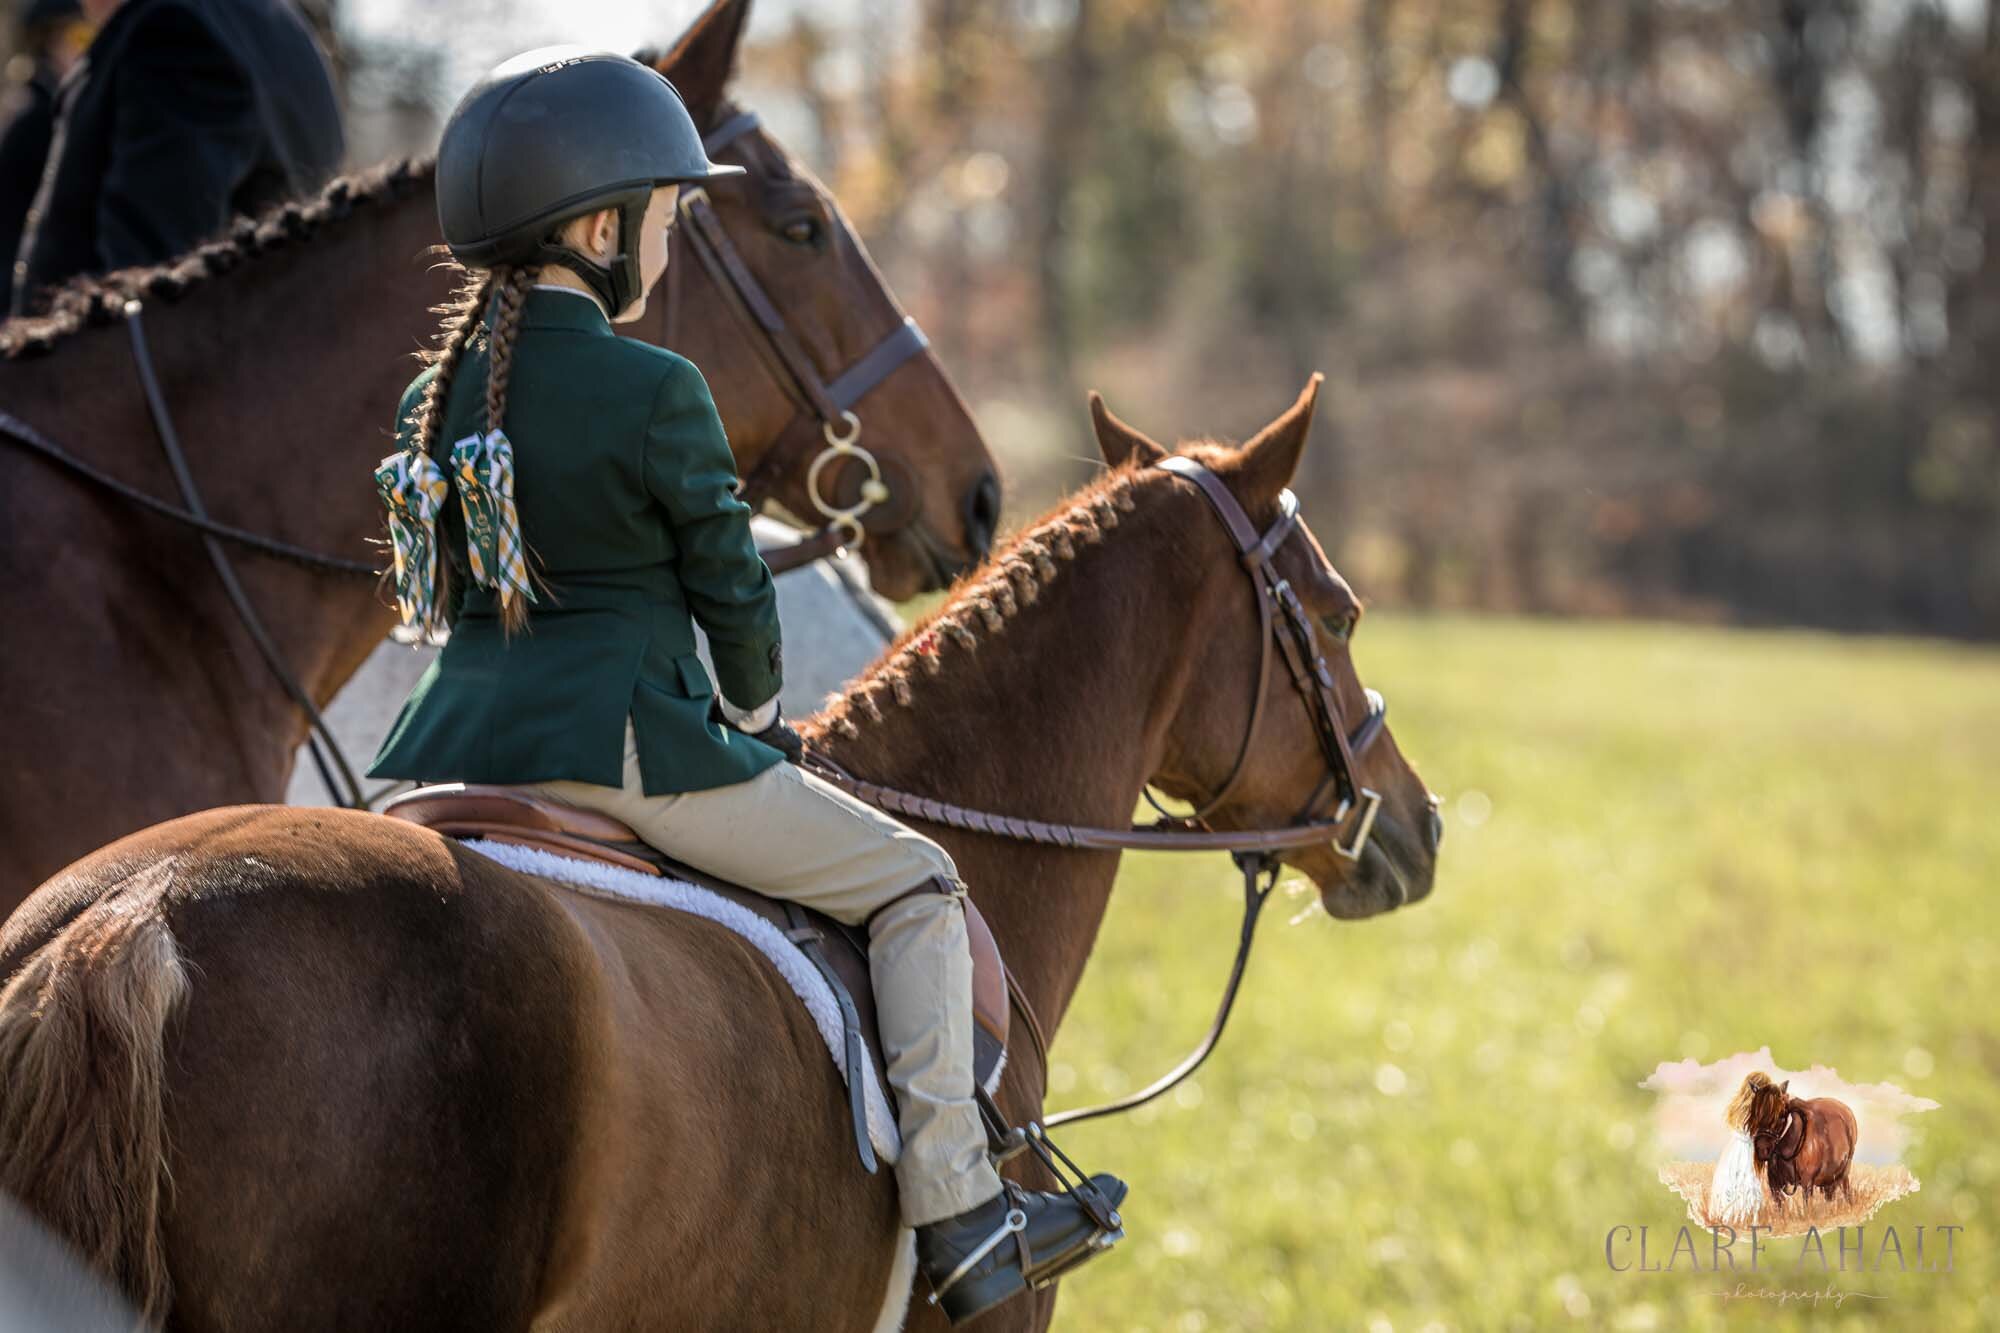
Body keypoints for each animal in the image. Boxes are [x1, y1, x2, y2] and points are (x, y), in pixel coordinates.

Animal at [1752, 1072, 1856, 1208]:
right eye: (1754, 1113)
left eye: (1781, 1115)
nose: (1762, 1149)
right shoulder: (1775, 1186)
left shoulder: (1807, 1183)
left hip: (1843, 1173)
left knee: (1846, 1192)